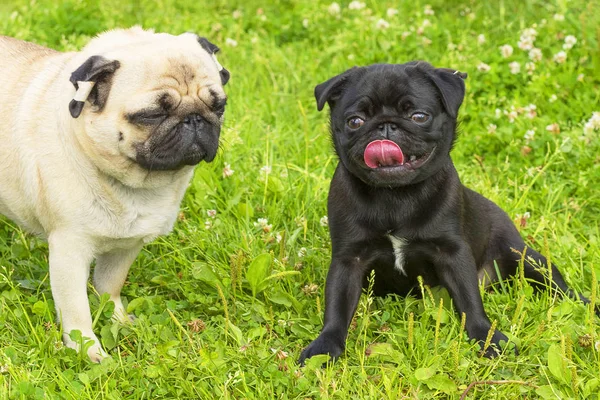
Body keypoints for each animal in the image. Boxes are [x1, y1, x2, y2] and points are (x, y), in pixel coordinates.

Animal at [0, 26, 230, 360]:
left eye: (218, 106)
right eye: (151, 115)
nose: (195, 118)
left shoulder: (127, 246)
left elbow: (110, 287)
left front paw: (117, 319)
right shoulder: (69, 252)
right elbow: (76, 310)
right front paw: (88, 350)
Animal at [300, 61, 596, 362]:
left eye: (419, 116)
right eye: (355, 121)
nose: (385, 126)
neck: (395, 196)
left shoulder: (452, 253)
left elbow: (469, 300)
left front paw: (487, 338)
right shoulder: (349, 259)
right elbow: (337, 307)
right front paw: (324, 346)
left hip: (526, 258)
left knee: (559, 287)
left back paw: (587, 304)